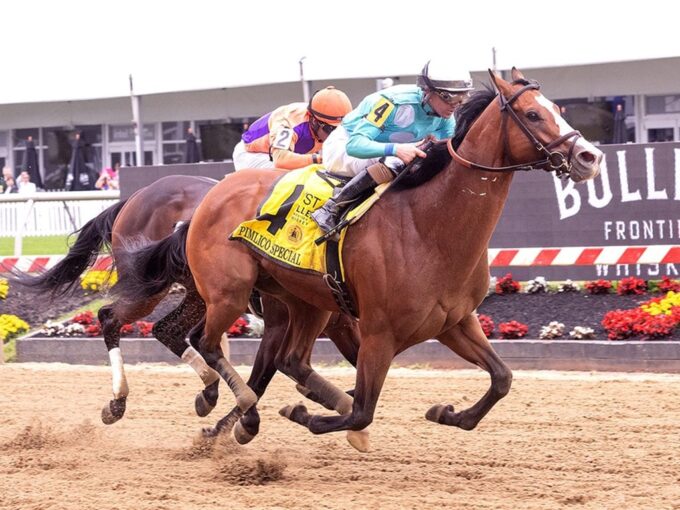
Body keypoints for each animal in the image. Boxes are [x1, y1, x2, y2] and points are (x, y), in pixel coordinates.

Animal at [15, 173, 362, 440]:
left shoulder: (342, 322)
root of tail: (135, 196)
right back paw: (118, 401)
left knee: (167, 329)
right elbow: (261, 378)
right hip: (151, 287)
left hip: (196, 293)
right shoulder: (280, 322)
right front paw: (237, 425)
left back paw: (207, 389)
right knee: (111, 317)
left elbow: (355, 360)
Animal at [114, 69, 604, 452]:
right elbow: (363, 410)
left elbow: (502, 378)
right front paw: (303, 414)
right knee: (206, 341)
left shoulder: (454, 322)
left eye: (556, 107)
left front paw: (447, 413)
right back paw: (235, 411)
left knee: (288, 359)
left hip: (305, 301)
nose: (590, 156)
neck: (429, 228)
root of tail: (207, 201)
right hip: (228, 292)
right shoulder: (378, 333)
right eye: (534, 114)